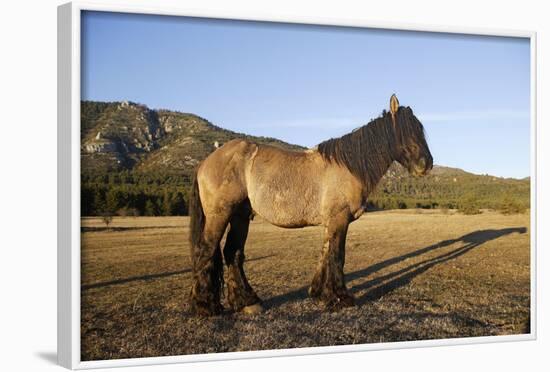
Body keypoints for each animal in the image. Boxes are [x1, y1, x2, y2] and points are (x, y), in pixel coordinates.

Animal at [188, 94, 434, 316]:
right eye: (405, 131)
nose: (427, 164)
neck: (349, 167)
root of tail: (205, 162)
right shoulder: (339, 219)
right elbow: (337, 255)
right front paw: (341, 298)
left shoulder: (331, 222)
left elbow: (325, 253)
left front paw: (319, 293)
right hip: (220, 215)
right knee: (206, 250)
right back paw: (206, 306)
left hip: (240, 216)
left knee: (233, 253)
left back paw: (247, 302)